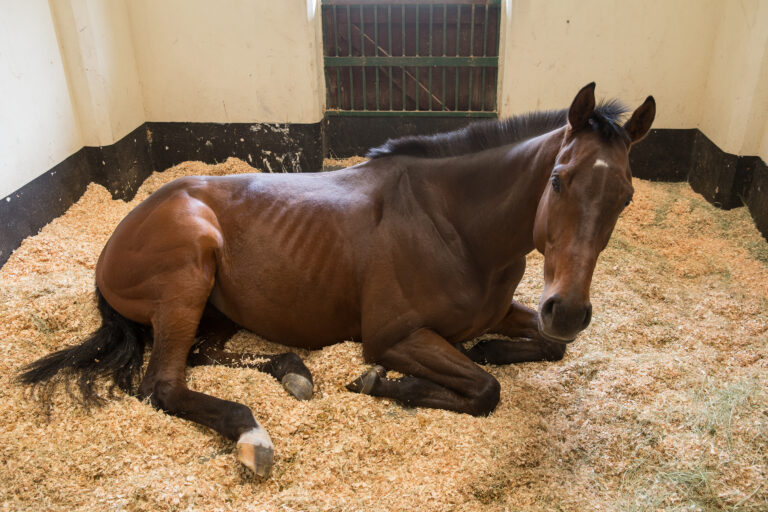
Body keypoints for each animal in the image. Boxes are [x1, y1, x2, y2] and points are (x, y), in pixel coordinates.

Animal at [19, 83, 655, 476]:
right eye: (558, 180)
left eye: (625, 196)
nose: (568, 310)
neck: (451, 222)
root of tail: (117, 238)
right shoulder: (394, 337)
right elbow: (483, 390)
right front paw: (383, 383)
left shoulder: (505, 311)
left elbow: (547, 349)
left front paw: (494, 348)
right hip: (187, 279)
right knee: (163, 385)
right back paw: (254, 436)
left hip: (213, 311)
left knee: (202, 356)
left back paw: (293, 370)